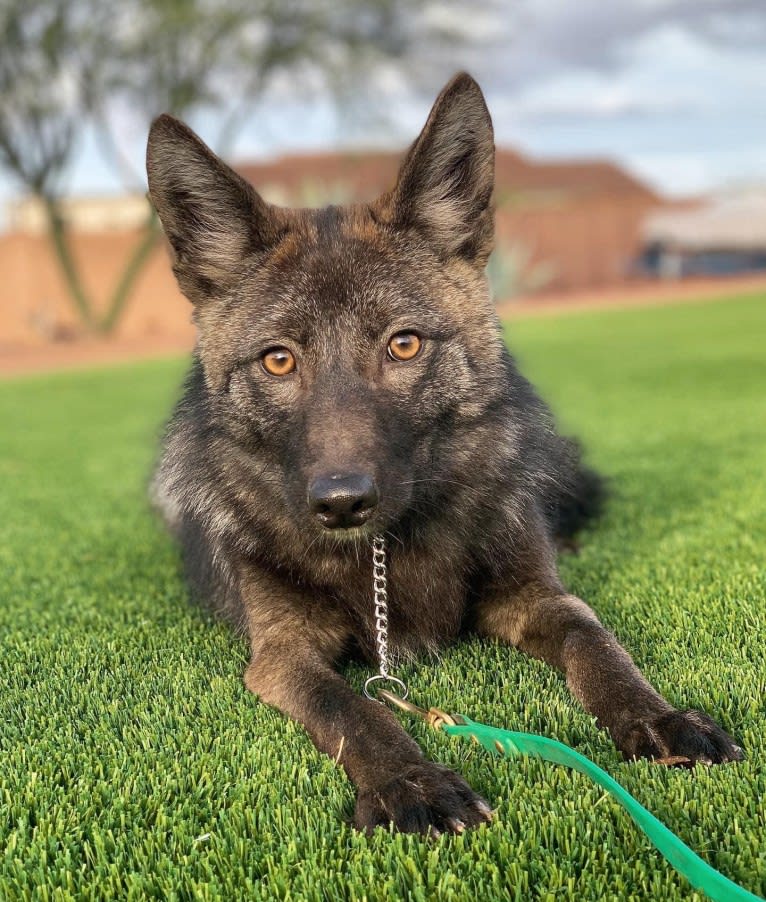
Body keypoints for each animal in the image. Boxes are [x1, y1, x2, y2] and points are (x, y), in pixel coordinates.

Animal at [146, 72, 744, 840]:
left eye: (403, 344)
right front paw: (410, 780)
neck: (387, 554)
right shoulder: (282, 656)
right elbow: (356, 708)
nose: (341, 503)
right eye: (278, 360)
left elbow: (596, 644)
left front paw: (659, 718)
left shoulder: (538, 598)